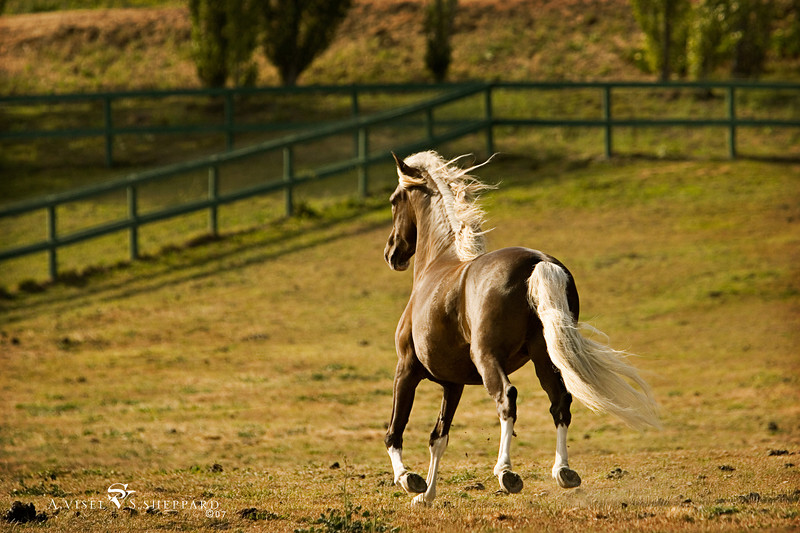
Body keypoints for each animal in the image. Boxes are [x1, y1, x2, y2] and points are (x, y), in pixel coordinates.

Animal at [384, 149, 660, 502]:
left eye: (394, 200)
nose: (392, 253)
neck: (438, 263)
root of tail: (538, 262)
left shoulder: (406, 368)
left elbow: (396, 430)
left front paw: (409, 480)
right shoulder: (453, 383)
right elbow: (439, 438)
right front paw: (427, 497)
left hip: (488, 357)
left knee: (507, 398)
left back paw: (506, 473)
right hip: (545, 357)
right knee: (560, 402)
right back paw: (564, 472)